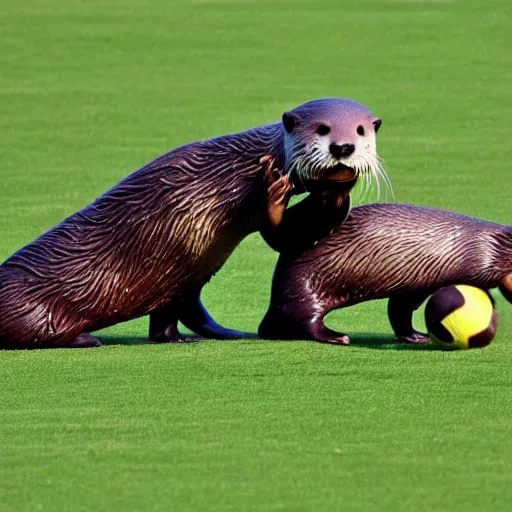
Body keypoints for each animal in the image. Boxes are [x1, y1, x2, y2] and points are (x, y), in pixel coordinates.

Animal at [0, 97, 384, 348]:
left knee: (172, 317)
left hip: (182, 276)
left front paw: (341, 184)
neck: (237, 171)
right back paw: (86, 338)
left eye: (361, 130)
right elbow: (278, 235)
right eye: (322, 129)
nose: (343, 147)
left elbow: (292, 237)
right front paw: (276, 189)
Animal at [260, 203, 512, 344]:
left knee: (399, 314)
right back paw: (337, 337)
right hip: (303, 289)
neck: (494, 244)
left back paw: (417, 337)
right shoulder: (481, 260)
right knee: (306, 321)